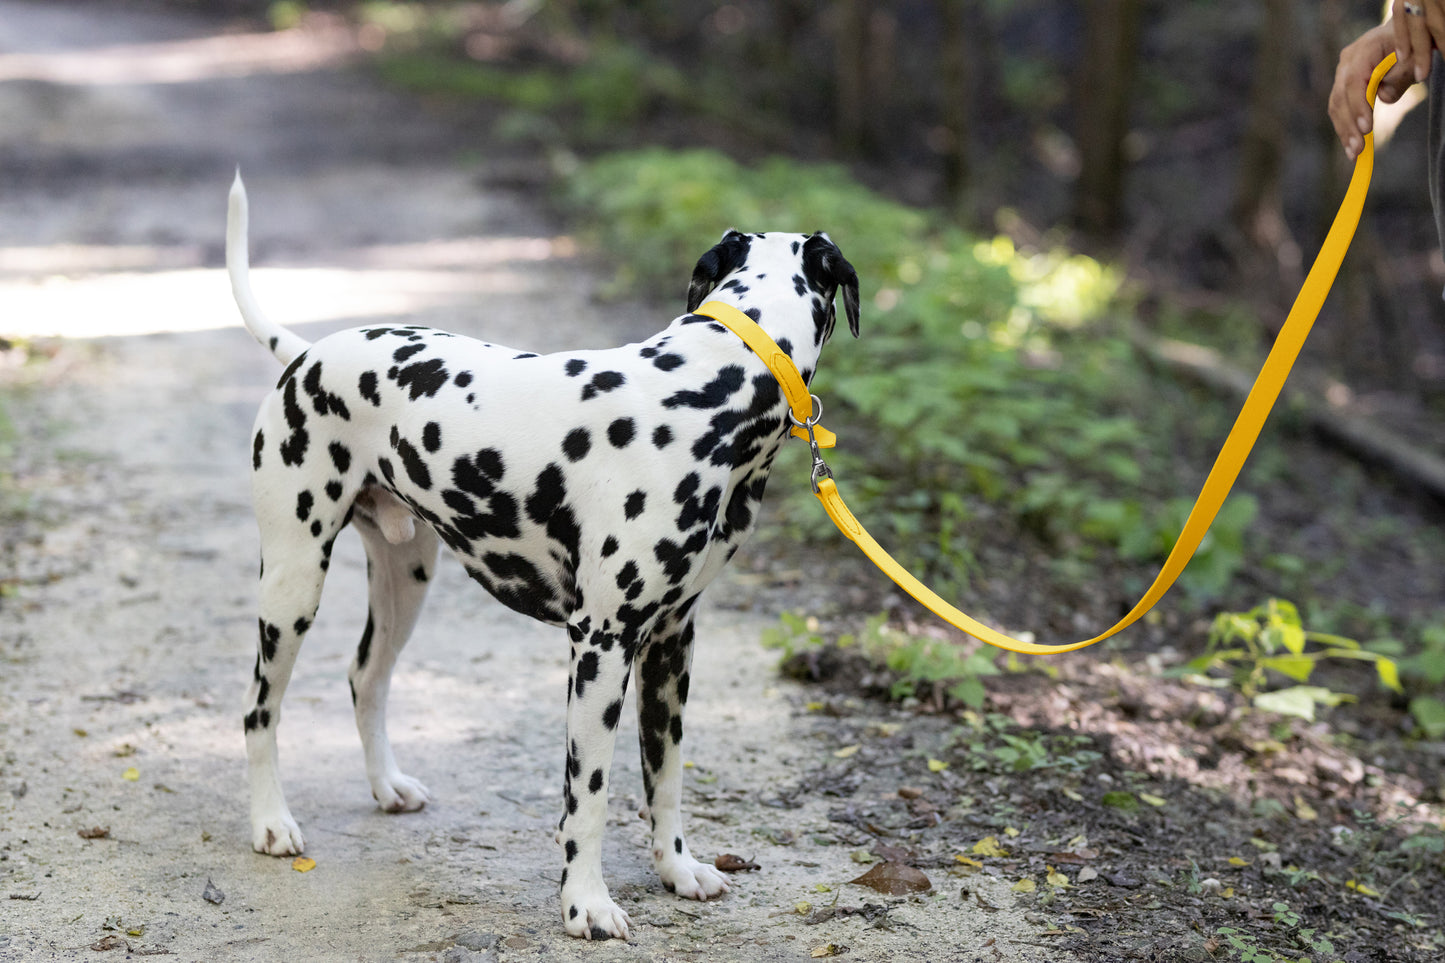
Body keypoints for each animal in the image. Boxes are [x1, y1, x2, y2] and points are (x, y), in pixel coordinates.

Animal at [225, 174, 855, 936]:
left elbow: (665, 778)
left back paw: (386, 785)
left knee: (364, 678)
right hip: (292, 585)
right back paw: (271, 821)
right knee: (259, 708)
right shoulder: (602, 644)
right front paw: (586, 903)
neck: (710, 384)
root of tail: (309, 352)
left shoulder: (671, 642)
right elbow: (589, 794)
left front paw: (677, 869)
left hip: (406, 581)